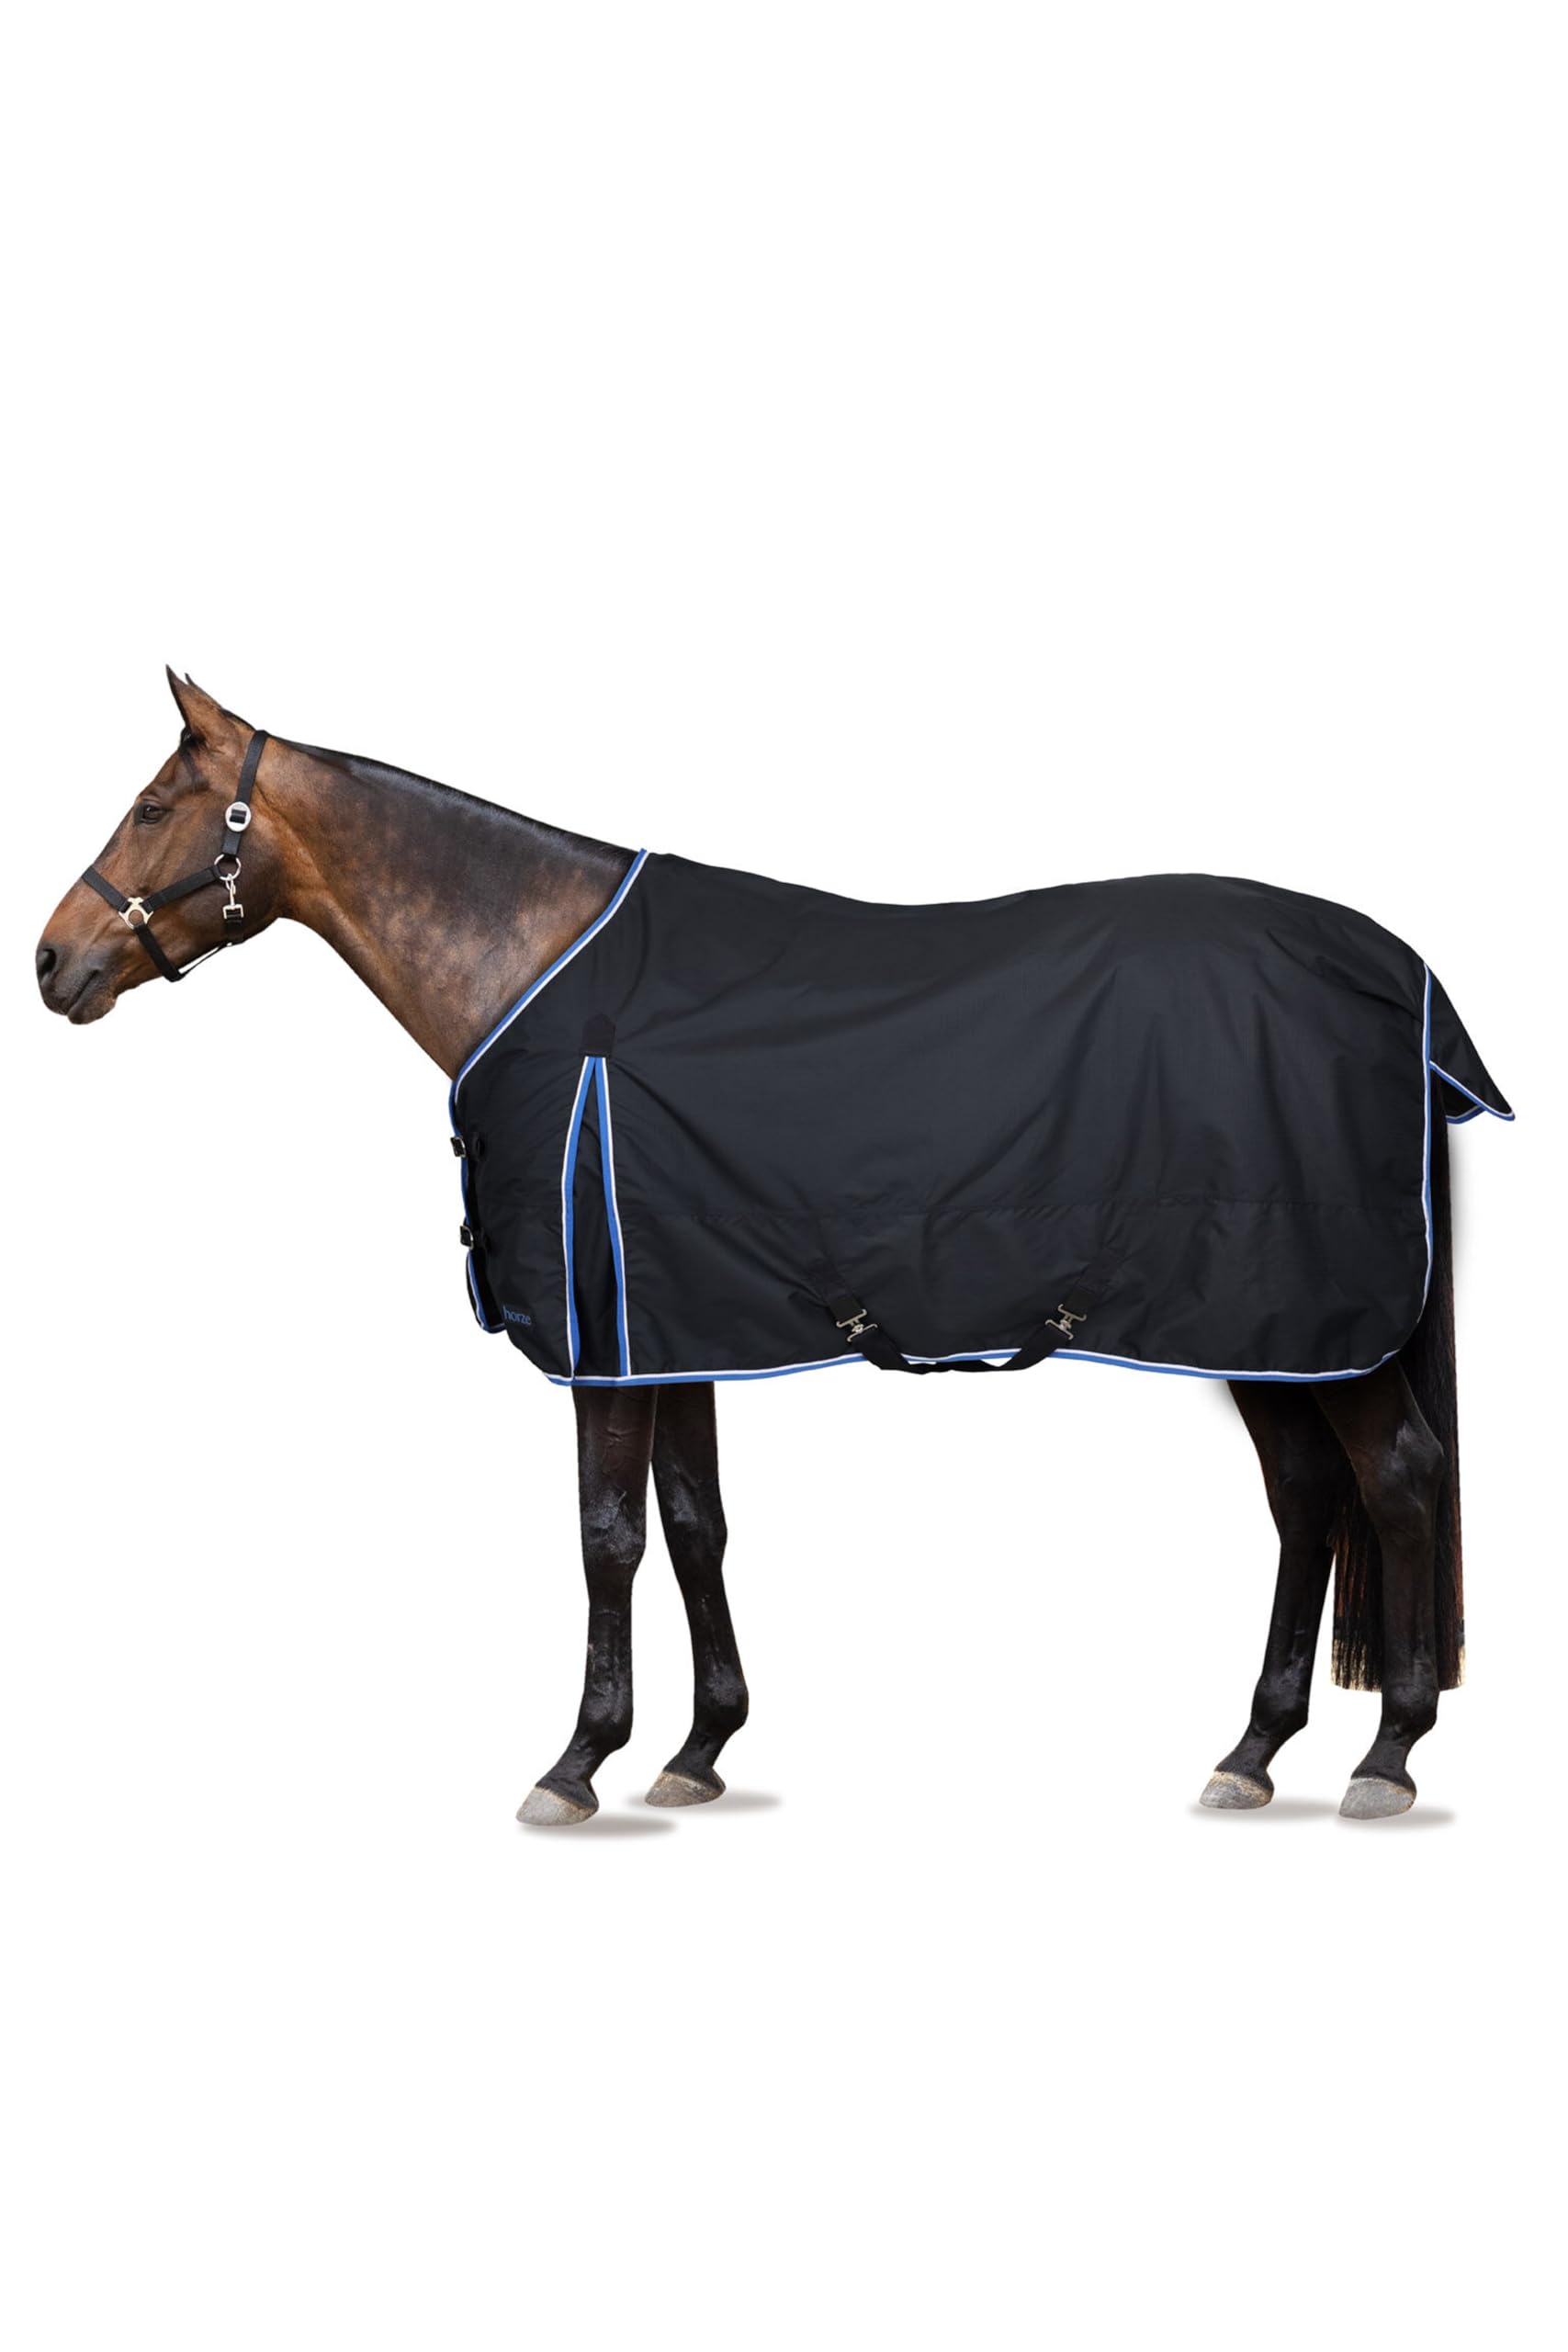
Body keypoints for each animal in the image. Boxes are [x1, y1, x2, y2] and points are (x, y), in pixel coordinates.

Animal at [36, 670, 1505, 1825]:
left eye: (154, 808)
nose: (53, 962)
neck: (539, 971)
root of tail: (1401, 981)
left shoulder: (606, 1344)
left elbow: (608, 1538)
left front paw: (577, 1760)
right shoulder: (670, 1327)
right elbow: (695, 1524)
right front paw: (697, 1748)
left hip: (1309, 1320)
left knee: (1396, 1481)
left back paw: (1386, 1753)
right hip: (1273, 1331)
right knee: (1307, 1499)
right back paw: (1253, 1748)